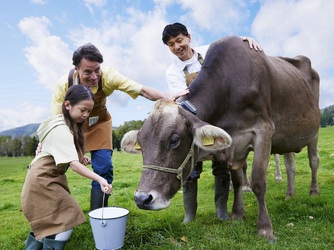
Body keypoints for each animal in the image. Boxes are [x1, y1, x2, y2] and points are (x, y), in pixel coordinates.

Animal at [121, 35, 320, 242]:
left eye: (174, 140)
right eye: (141, 143)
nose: (142, 199)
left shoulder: (264, 131)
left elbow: (258, 182)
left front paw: (265, 229)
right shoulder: (234, 144)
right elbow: (238, 181)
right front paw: (237, 215)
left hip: (314, 130)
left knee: (313, 160)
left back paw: (314, 191)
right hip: (287, 138)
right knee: (290, 163)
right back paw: (290, 194)